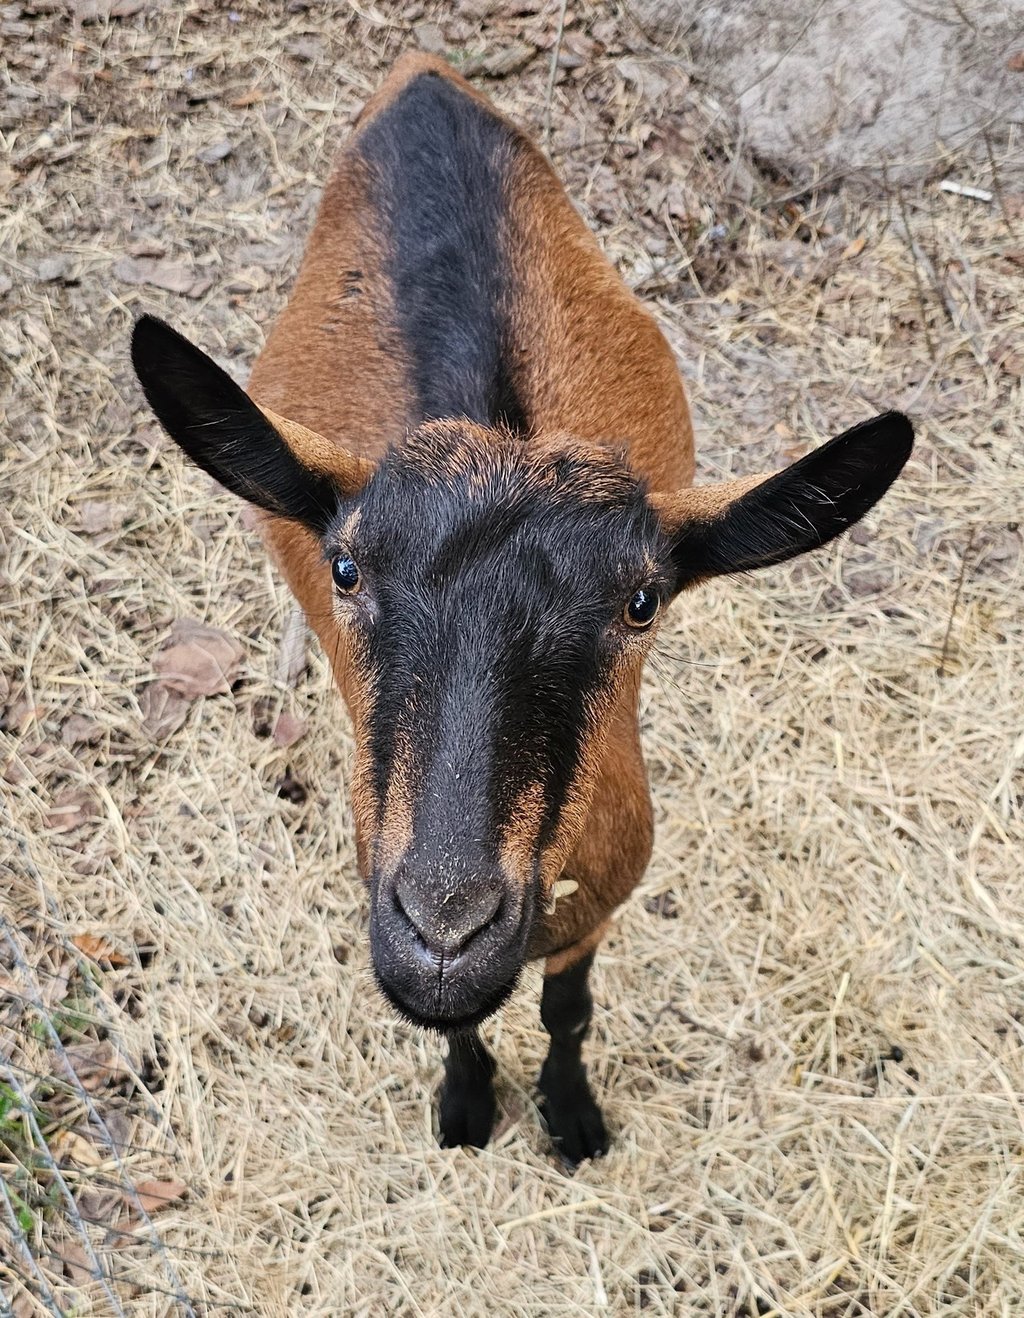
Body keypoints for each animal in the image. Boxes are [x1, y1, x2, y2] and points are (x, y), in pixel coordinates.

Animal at [131, 54, 913, 1164]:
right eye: (346, 568)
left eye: (641, 603)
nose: (445, 933)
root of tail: (425, 78)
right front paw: (466, 1109)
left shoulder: (602, 902)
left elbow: (566, 1010)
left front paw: (572, 1118)